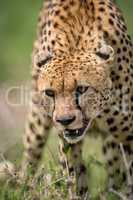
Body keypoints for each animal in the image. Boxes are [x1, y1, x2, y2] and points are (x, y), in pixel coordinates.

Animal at [20, 0, 133, 198]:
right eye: (50, 93)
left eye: (82, 89)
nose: (65, 120)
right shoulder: (66, 141)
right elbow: (74, 175)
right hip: (37, 123)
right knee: (31, 155)